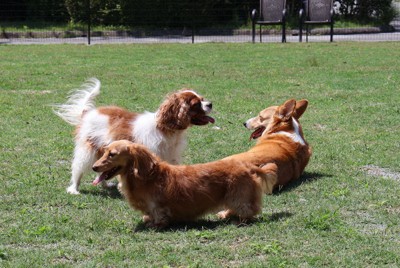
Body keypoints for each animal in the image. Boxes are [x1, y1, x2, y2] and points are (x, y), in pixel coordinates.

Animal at [55, 78, 216, 194]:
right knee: (78, 168)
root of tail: (88, 113)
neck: (165, 128)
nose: (210, 104)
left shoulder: (171, 157)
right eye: (196, 104)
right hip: (88, 150)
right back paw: (74, 189)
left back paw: (105, 185)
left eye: (202, 99)